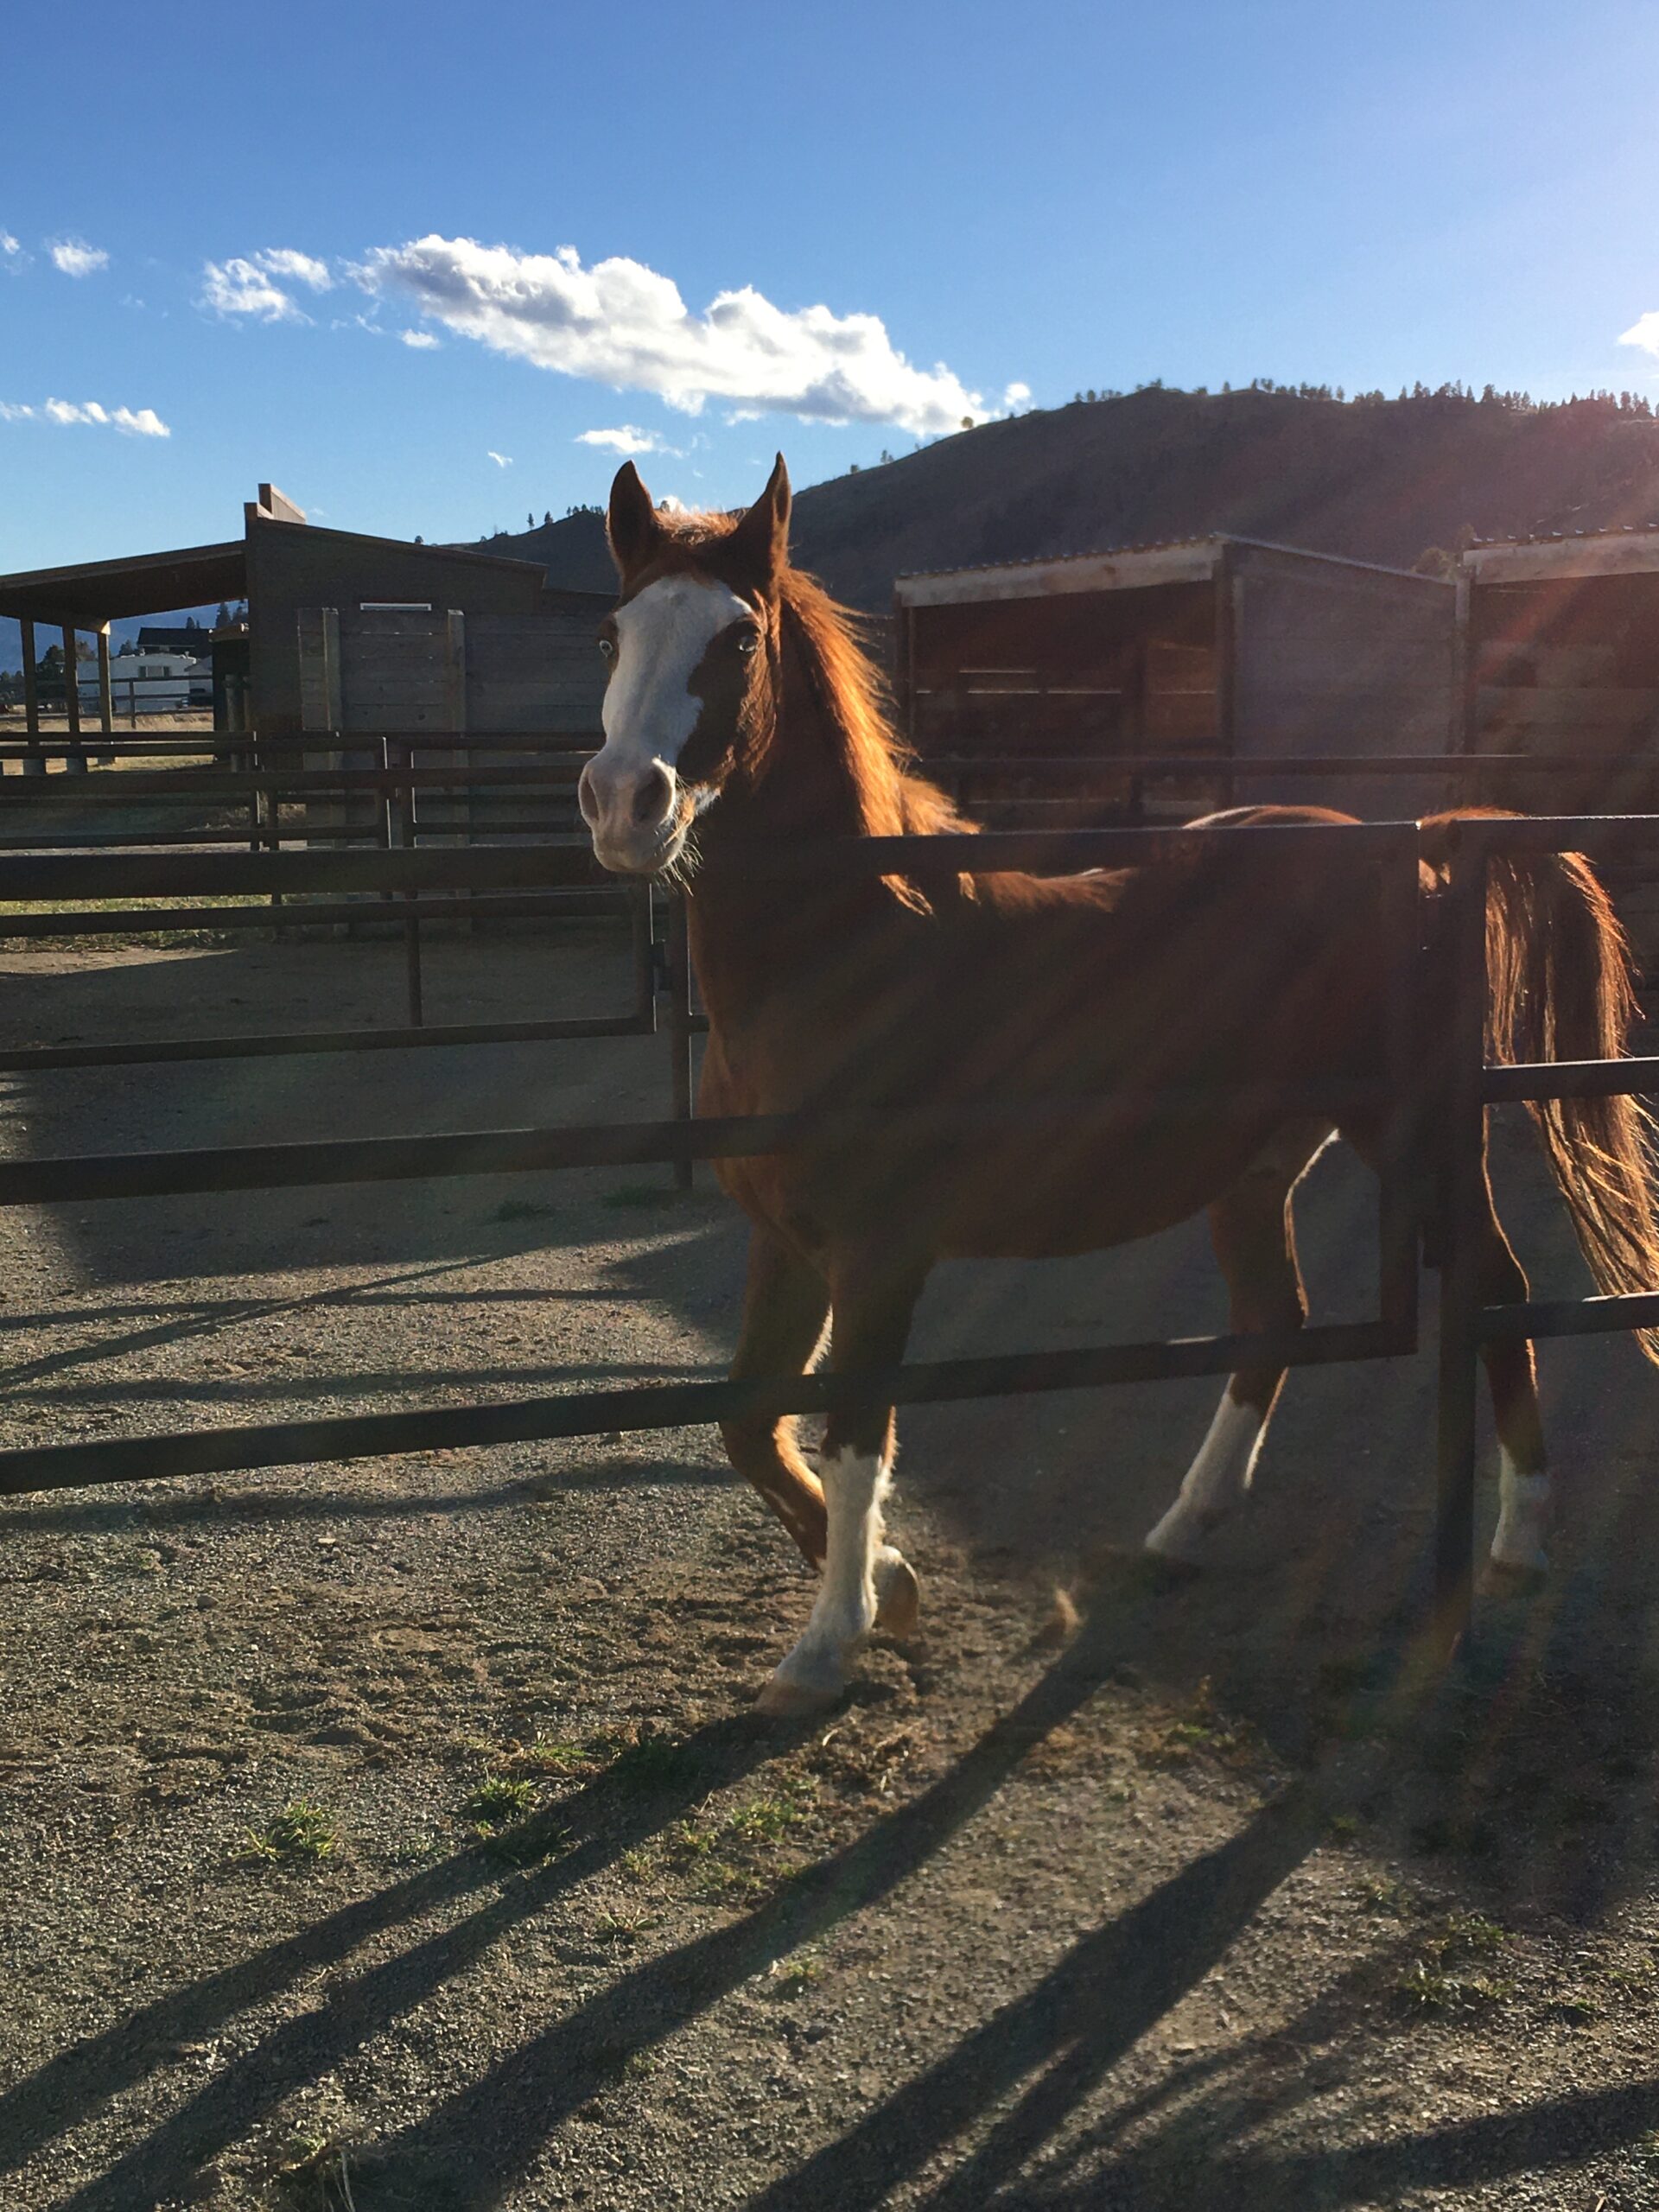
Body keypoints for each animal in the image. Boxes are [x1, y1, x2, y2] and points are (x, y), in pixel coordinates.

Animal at [577, 454, 1659, 1717]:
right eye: (613, 632)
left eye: (738, 639)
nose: (625, 803)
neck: (847, 952)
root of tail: (1428, 845)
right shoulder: (787, 1240)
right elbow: (749, 1420)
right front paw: (890, 1583)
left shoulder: (882, 1252)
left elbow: (854, 1437)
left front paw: (830, 1638)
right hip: (1258, 1164)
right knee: (1275, 1320)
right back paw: (1183, 1527)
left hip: (1417, 1136)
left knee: (1496, 1289)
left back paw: (1518, 1543)